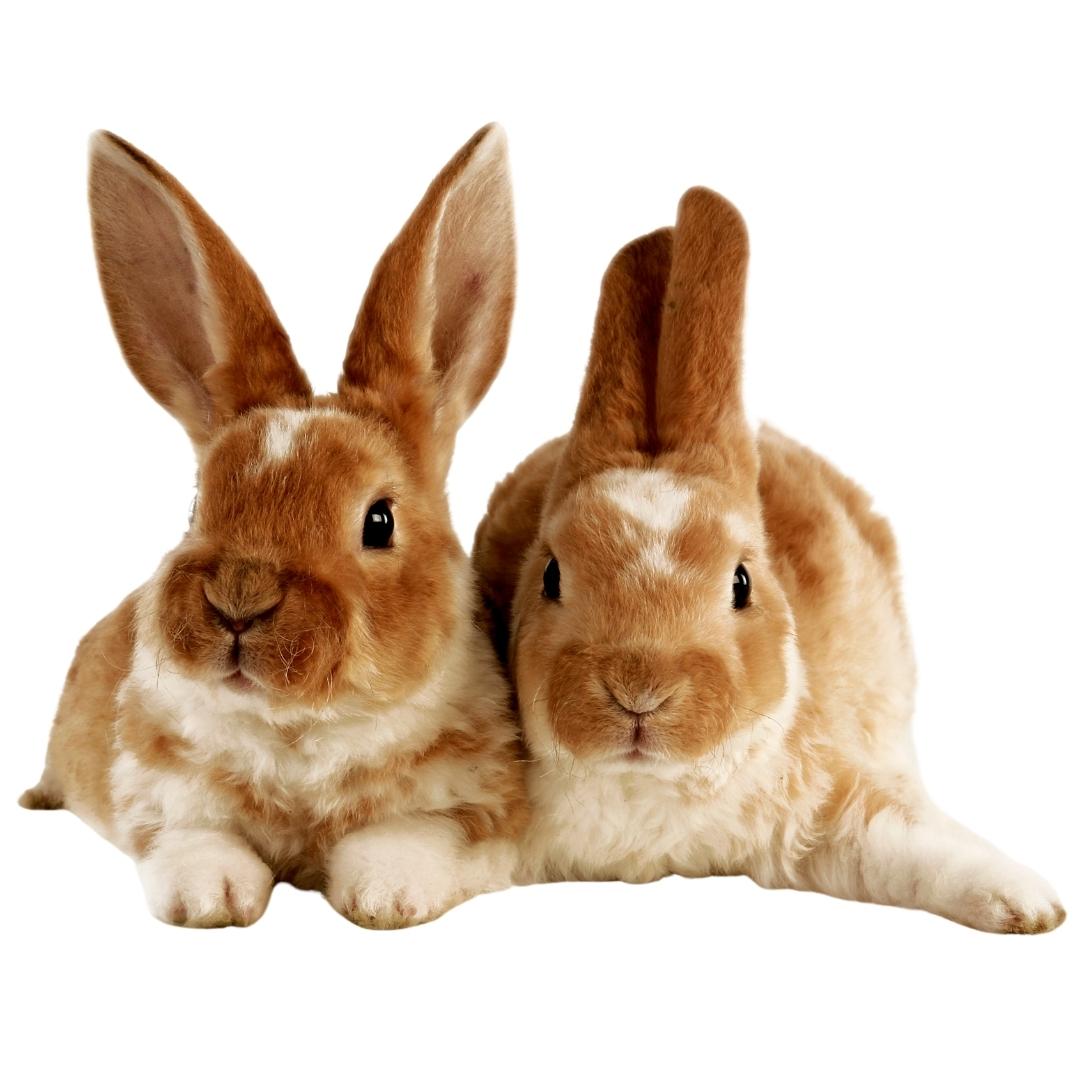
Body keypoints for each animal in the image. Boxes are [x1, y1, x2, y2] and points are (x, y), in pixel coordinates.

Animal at [23, 124, 529, 928]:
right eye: (197, 504)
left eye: (379, 521)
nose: (239, 597)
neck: (298, 728)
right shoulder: (164, 799)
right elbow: (195, 844)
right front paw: (213, 900)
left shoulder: (476, 807)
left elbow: (409, 840)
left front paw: (383, 896)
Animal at [477, 185, 1067, 928]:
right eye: (551, 576)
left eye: (741, 582)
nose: (641, 690)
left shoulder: (836, 807)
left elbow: (916, 844)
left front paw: (1030, 903)